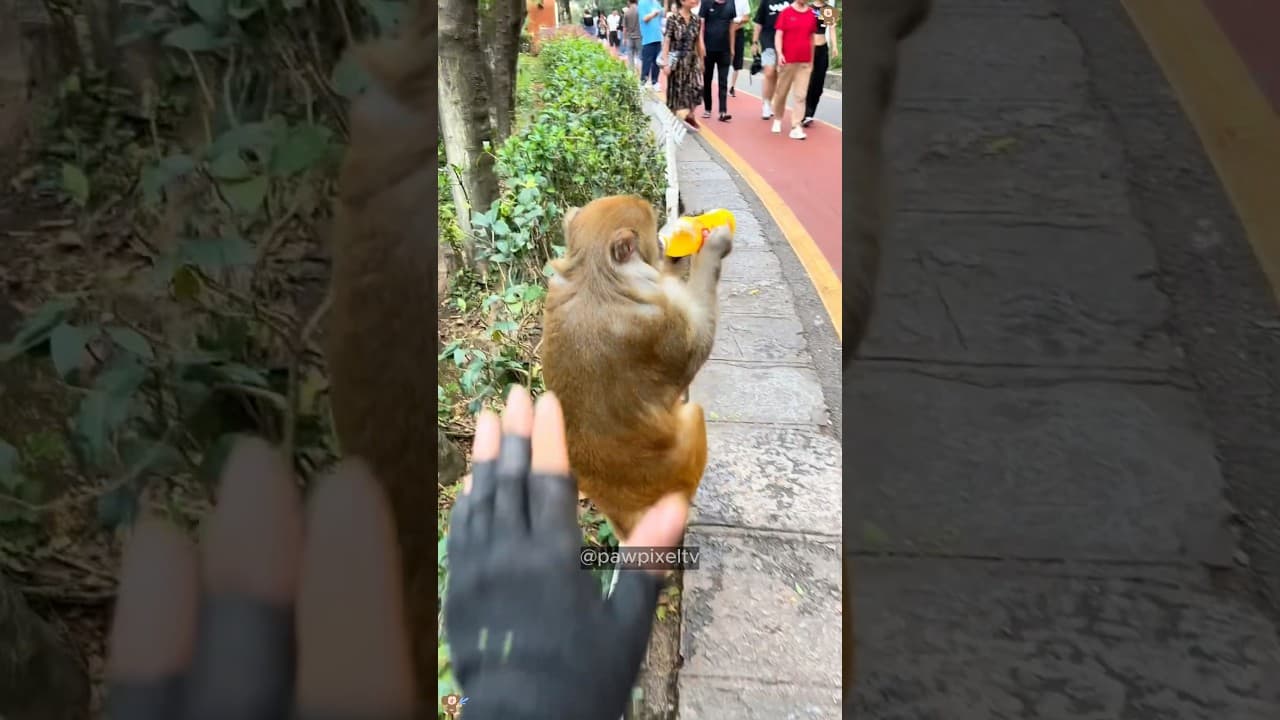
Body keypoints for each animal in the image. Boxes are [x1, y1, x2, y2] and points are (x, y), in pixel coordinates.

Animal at [540, 194, 733, 542]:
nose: (660, 243)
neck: (594, 276)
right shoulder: (660, 326)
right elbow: (697, 346)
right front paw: (709, 247)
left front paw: (677, 256)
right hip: (680, 470)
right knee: (692, 415)